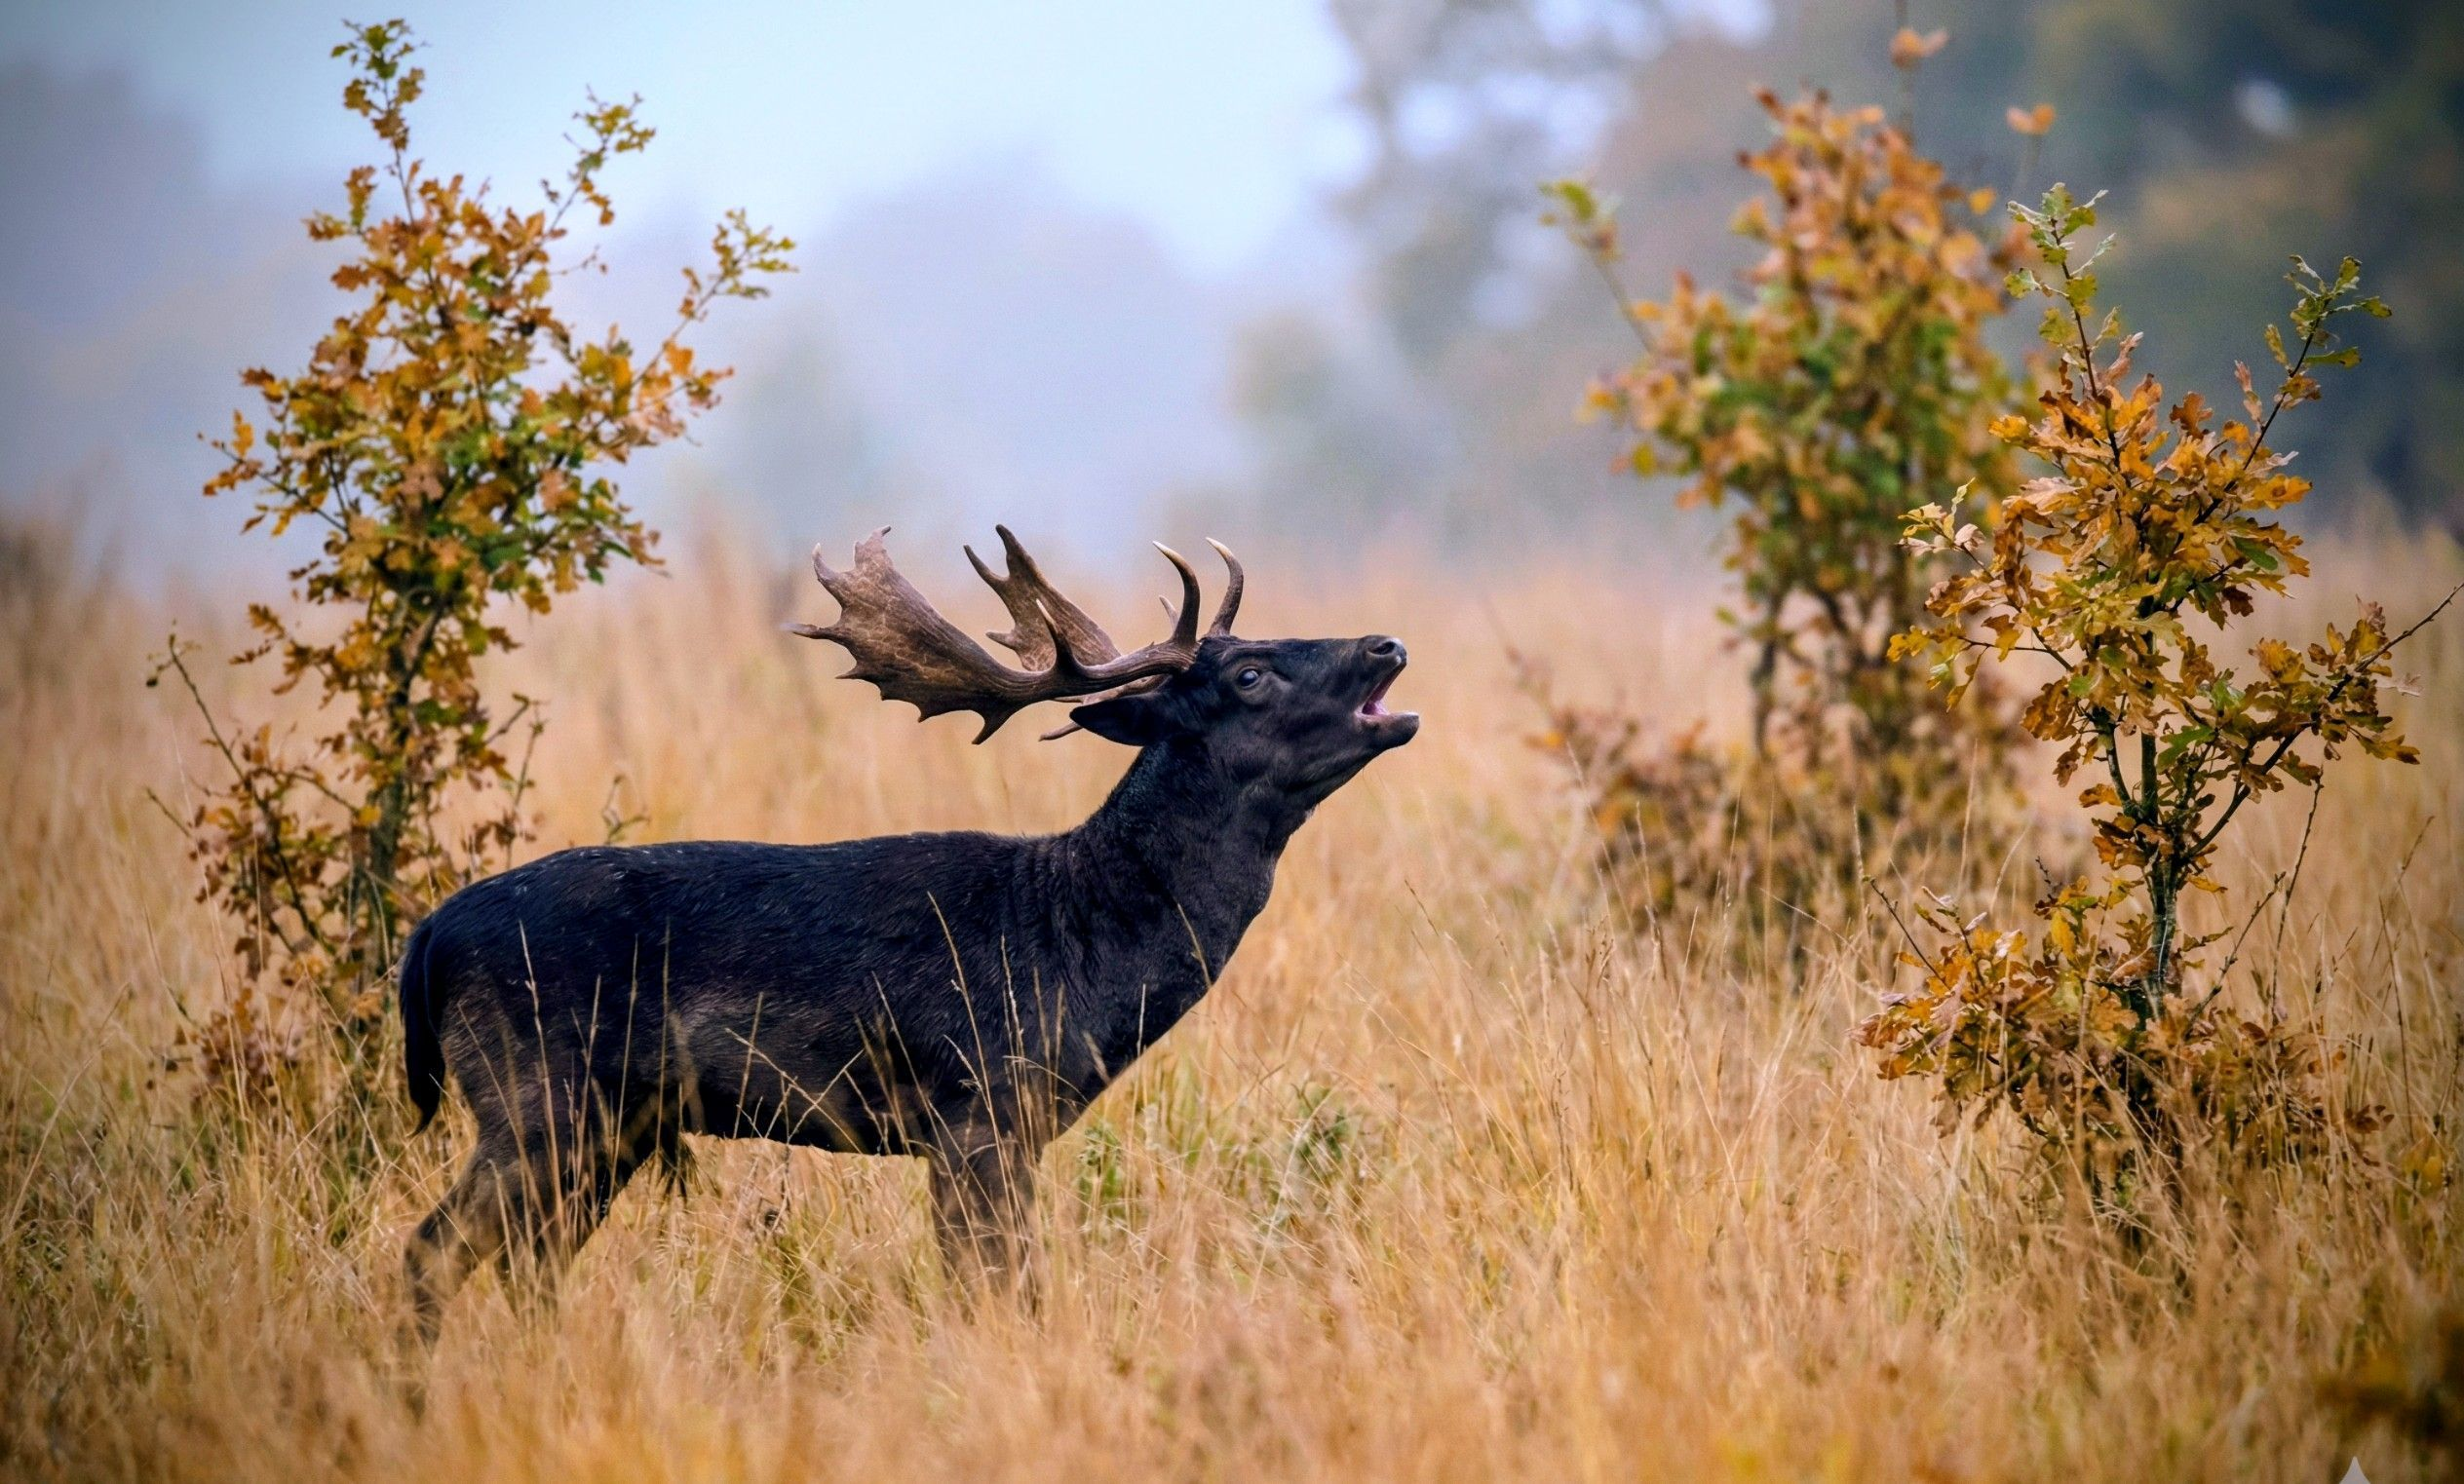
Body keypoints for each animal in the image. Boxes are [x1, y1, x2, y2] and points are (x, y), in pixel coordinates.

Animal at [398, 527, 1416, 1342]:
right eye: (1248, 673)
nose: (1388, 643)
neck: (1081, 943)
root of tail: (429, 937)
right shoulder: (976, 1110)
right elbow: (997, 1286)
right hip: (534, 1096)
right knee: (433, 1250)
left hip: (611, 1129)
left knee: (527, 1266)